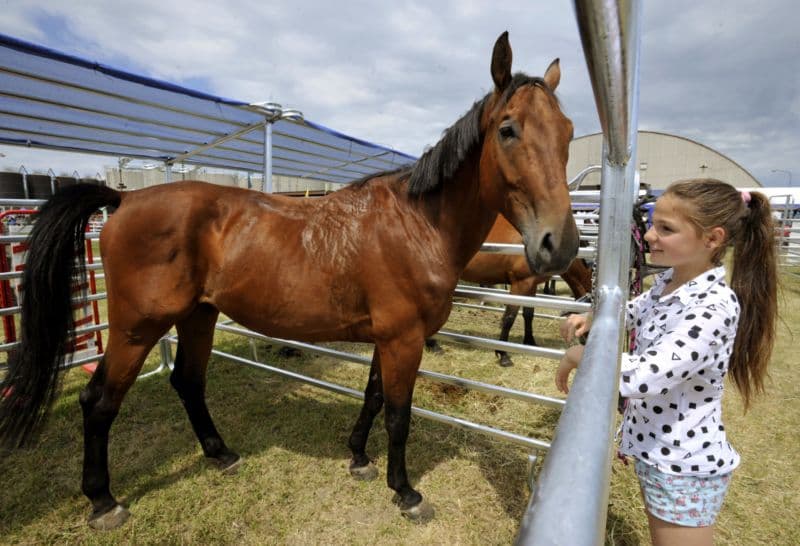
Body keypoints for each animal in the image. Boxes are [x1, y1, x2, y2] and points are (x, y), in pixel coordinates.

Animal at [0, 31, 580, 528]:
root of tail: (124, 199)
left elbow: (372, 399)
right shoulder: (404, 340)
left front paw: (358, 457)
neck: (416, 224)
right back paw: (103, 500)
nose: (561, 244)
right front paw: (405, 491)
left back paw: (221, 454)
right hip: (136, 327)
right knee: (99, 401)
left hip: (197, 316)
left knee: (187, 381)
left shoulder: (388, 338)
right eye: (507, 129)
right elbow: (398, 415)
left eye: (570, 133)